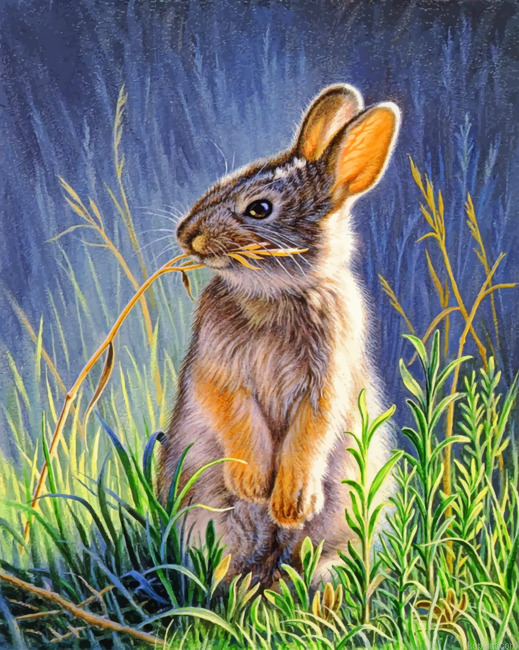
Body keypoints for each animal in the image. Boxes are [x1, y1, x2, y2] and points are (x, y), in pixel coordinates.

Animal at [157, 83, 401, 586]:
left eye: (260, 209)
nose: (187, 235)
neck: (276, 294)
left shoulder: (327, 379)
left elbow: (311, 432)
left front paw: (290, 503)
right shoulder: (217, 368)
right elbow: (235, 413)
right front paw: (254, 484)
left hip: (339, 537)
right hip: (205, 520)